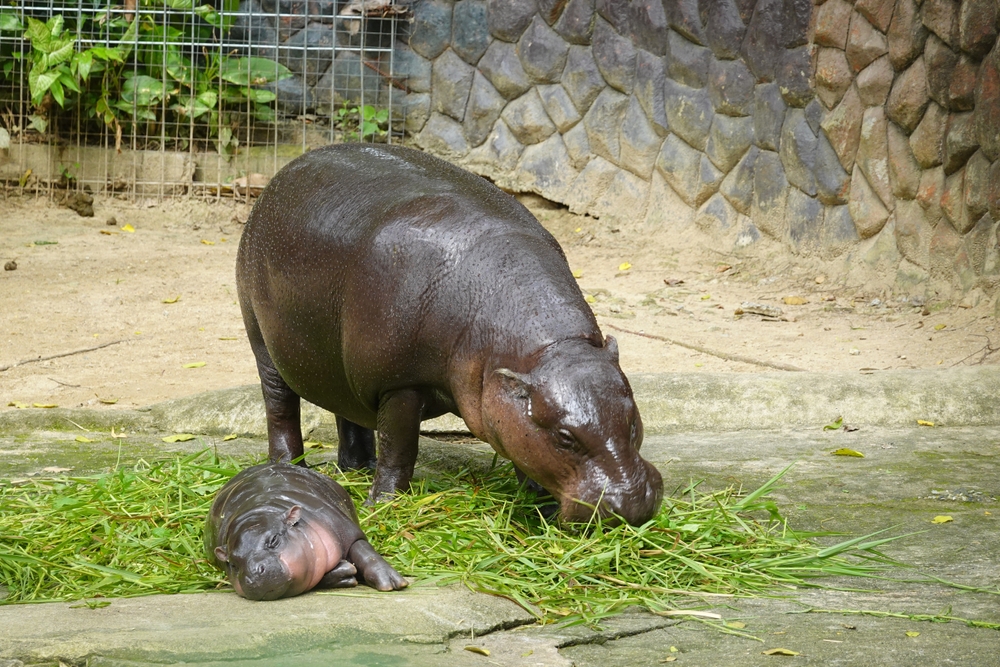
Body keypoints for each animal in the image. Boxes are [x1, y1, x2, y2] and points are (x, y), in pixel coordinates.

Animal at [205, 464, 408, 600]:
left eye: (274, 540)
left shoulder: (342, 527)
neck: (260, 510)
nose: (253, 575)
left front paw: (392, 583)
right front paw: (346, 572)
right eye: (232, 564)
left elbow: (365, 552)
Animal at [236, 144, 664, 524]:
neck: (546, 350)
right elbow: (399, 448)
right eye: (564, 437)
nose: (630, 504)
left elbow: (521, 442)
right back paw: (291, 469)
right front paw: (384, 504)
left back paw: (358, 469)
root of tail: (282, 175)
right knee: (281, 410)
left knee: (349, 412)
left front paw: (538, 499)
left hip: (342, 365)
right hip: (263, 344)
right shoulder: (398, 385)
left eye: (633, 421)